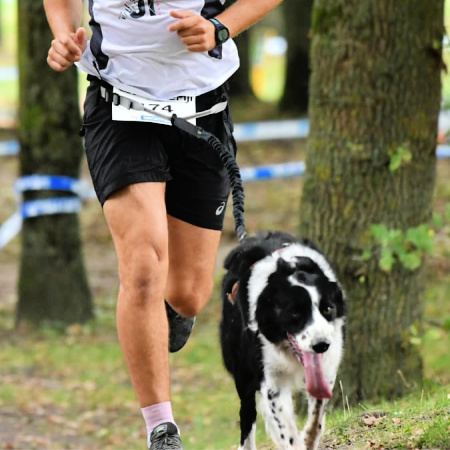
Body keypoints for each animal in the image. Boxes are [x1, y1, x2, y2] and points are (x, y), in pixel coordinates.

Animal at [220, 232, 346, 450]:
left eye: (328, 309)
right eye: (294, 313)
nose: (321, 345)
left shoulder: (328, 363)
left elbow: (317, 416)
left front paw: (308, 439)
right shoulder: (271, 378)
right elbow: (286, 430)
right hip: (242, 373)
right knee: (247, 414)